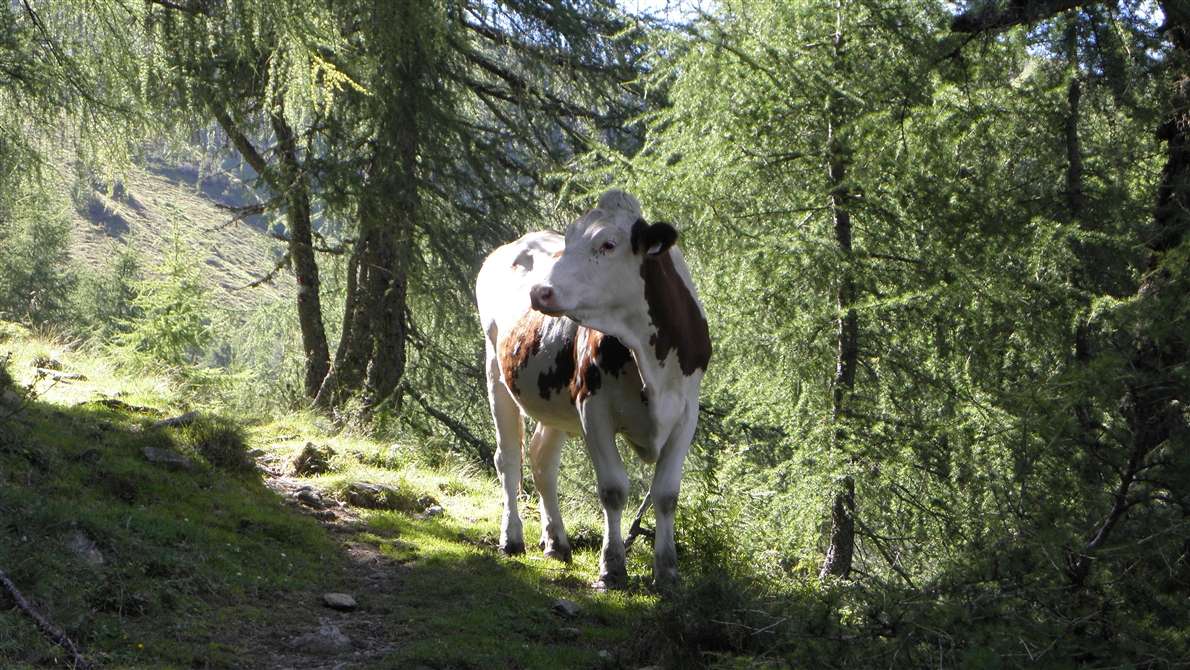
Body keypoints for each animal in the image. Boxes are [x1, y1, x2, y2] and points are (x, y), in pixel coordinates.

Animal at [473, 188, 709, 587]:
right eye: (568, 240)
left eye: (608, 244)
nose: (540, 292)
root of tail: (515, 244)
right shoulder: (592, 407)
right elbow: (613, 489)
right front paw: (612, 567)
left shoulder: (686, 412)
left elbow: (665, 494)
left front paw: (667, 572)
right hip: (496, 369)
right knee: (508, 458)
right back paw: (512, 537)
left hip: (552, 400)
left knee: (542, 459)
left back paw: (556, 541)